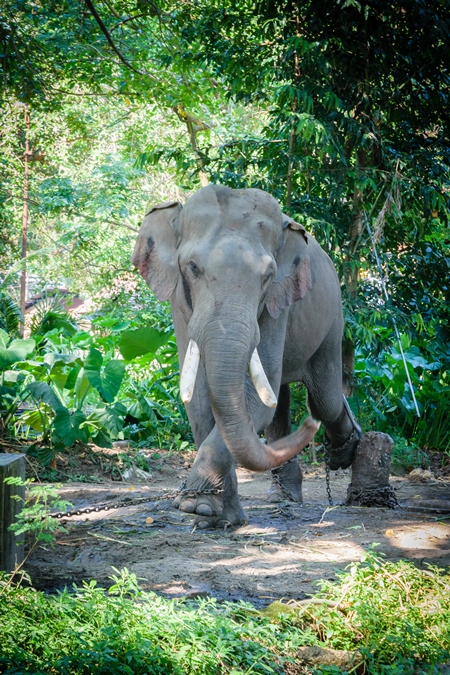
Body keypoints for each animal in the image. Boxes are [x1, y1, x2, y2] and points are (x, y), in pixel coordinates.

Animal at [132, 184, 360, 528]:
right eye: (193, 267)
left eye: (268, 275)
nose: (309, 427)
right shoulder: (180, 303)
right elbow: (199, 400)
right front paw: (213, 514)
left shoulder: (279, 300)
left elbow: (253, 397)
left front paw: (197, 505)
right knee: (282, 402)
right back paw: (283, 495)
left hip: (333, 317)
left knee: (324, 398)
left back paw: (345, 451)